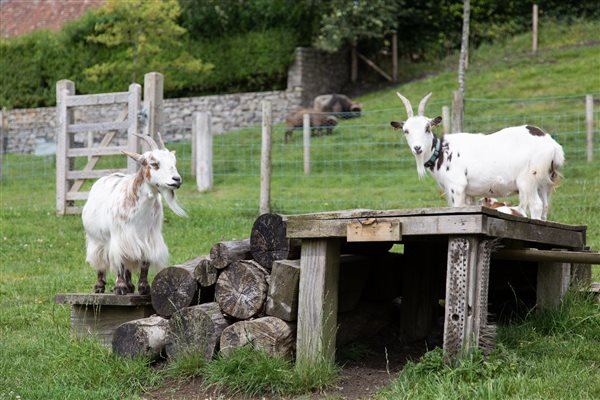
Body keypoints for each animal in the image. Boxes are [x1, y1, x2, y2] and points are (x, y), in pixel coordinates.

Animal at [81, 134, 186, 294]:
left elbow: (144, 262)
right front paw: (120, 287)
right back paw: (100, 286)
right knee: (100, 262)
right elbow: (119, 262)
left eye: (173, 162)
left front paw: (144, 287)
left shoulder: (148, 238)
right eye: (154, 163)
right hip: (96, 239)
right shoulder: (119, 238)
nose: (177, 180)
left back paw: (130, 286)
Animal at [392, 92, 564, 220]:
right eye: (406, 131)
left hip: (528, 181)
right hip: (544, 183)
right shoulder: (468, 193)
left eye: (427, 128)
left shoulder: (457, 187)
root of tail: (552, 145)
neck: (441, 152)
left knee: (536, 206)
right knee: (545, 207)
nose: (417, 148)